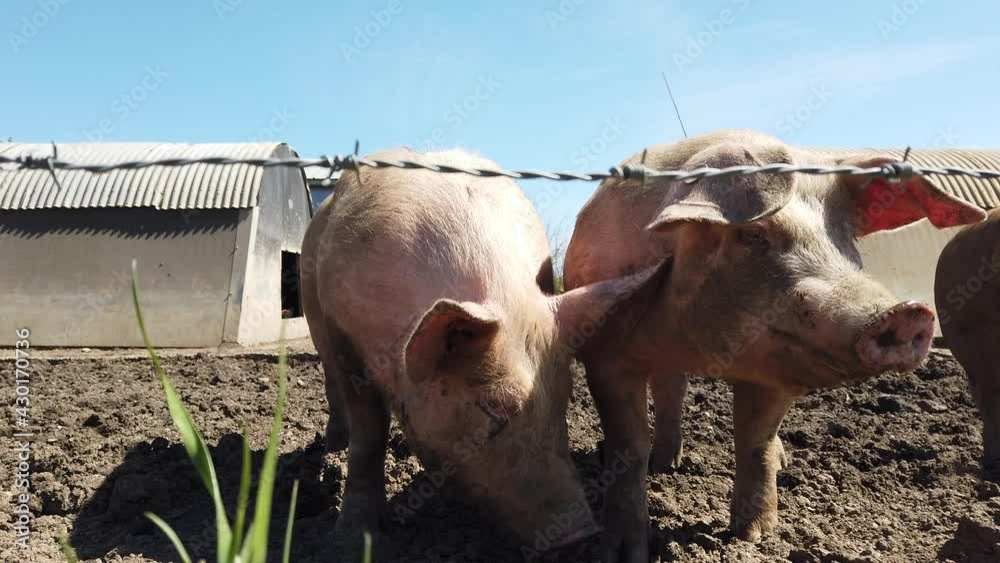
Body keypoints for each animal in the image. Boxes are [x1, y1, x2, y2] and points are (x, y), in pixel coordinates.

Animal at [296, 147, 648, 560]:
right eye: (492, 410)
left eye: (563, 404)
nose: (580, 532)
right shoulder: (341, 331)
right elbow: (367, 432)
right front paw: (354, 538)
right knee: (331, 386)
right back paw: (333, 446)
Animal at [564, 130, 984, 560]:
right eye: (754, 234)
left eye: (844, 237)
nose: (907, 312)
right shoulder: (606, 353)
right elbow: (628, 447)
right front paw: (623, 551)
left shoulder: (773, 370)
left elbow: (756, 444)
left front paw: (755, 536)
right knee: (671, 392)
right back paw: (666, 464)